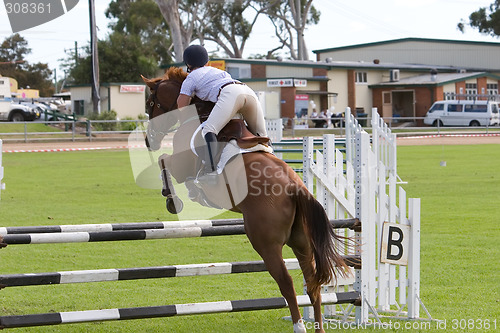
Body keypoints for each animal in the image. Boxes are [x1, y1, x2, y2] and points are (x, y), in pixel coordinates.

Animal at [143, 67, 350, 332]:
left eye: (150, 103)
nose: (149, 141)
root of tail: (295, 187)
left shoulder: (180, 165)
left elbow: (164, 161)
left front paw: (172, 200)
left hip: (265, 244)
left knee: (286, 281)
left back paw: (298, 325)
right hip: (302, 242)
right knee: (312, 282)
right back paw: (318, 327)